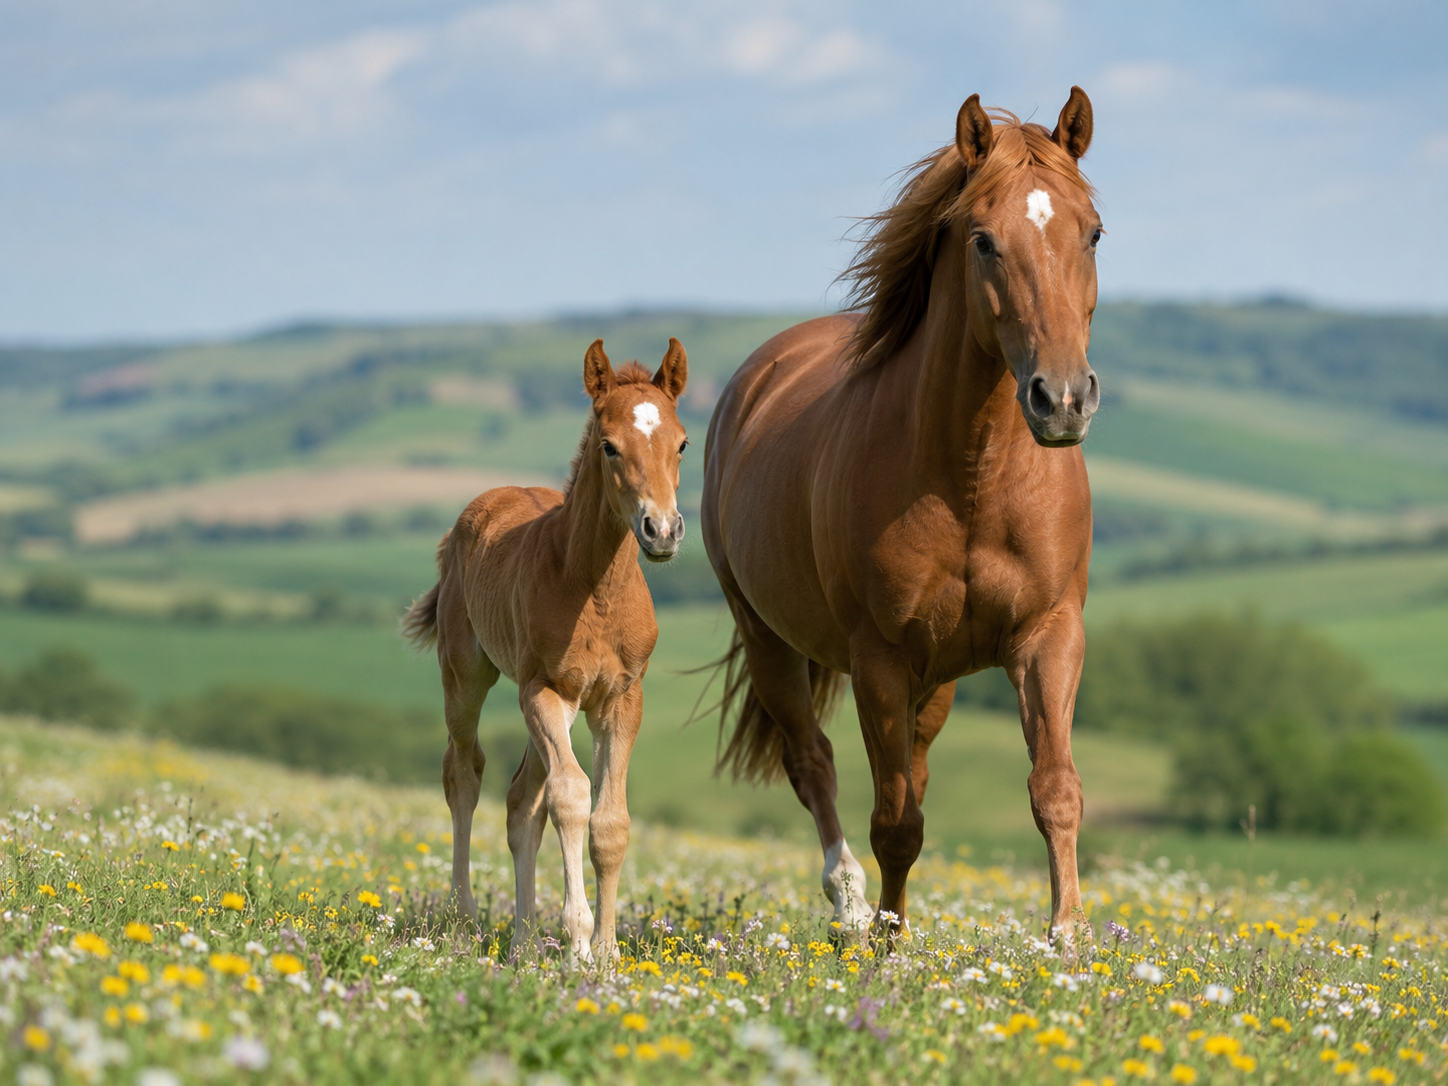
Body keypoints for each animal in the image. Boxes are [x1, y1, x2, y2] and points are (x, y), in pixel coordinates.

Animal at [403, 338, 689, 962]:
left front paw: (606, 952)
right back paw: (464, 922)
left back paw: (524, 944)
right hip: (468, 676)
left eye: (681, 442)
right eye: (609, 445)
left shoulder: (620, 699)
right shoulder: (545, 691)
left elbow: (609, 820)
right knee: (465, 774)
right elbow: (571, 797)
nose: (661, 530)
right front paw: (579, 943)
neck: (593, 588)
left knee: (519, 801)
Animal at [701, 88, 1102, 941]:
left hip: (937, 678)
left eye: (1092, 232)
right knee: (814, 763)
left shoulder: (1048, 634)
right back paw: (852, 906)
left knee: (909, 769)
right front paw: (887, 943)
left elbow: (1054, 789)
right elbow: (894, 822)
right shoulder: (880, 660)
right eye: (983, 241)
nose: (1061, 399)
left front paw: (1070, 940)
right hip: (769, 638)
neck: (972, 474)